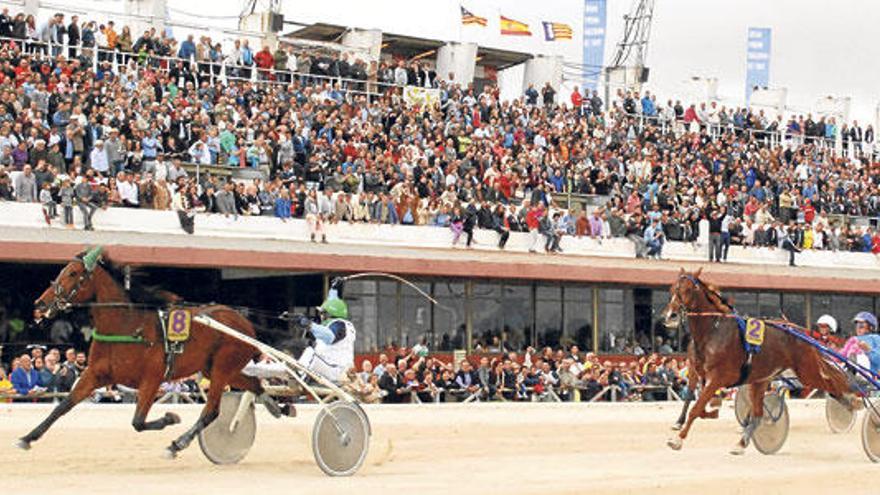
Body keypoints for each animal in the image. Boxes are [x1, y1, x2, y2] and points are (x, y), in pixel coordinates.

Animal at [18, 246, 292, 460]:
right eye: (61, 271)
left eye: (73, 273)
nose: (40, 304)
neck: (127, 326)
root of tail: (245, 322)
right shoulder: (95, 374)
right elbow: (63, 406)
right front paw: (28, 437)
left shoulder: (152, 377)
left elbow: (138, 422)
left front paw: (171, 417)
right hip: (216, 368)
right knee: (253, 383)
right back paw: (278, 407)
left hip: (222, 367)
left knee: (212, 411)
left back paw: (178, 443)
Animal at [660, 270, 860, 456]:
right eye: (672, 289)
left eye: (689, 289)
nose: (671, 315)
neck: (713, 331)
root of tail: (801, 331)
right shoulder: (700, 373)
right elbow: (695, 402)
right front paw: (702, 415)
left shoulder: (717, 378)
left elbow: (696, 408)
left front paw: (678, 440)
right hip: (761, 379)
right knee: (758, 413)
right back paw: (740, 444)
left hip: (806, 371)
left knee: (831, 383)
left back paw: (851, 401)